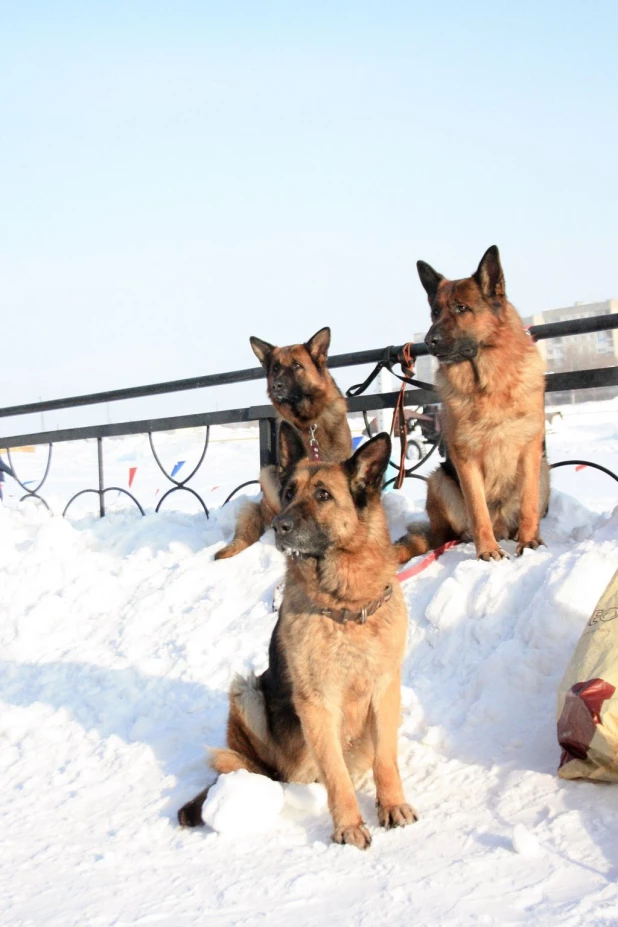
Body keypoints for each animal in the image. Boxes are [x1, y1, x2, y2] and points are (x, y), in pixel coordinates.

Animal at [180, 424, 416, 852]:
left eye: (323, 495)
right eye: (289, 492)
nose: (278, 526)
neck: (345, 605)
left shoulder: (386, 690)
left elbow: (386, 759)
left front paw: (392, 804)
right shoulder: (317, 704)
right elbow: (336, 776)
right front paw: (349, 825)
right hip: (247, 692)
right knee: (265, 769)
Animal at [392, 246, 548, 560]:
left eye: (461, 308)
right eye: (435, 312)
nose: (429, 341)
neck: (488, 386)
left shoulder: (530, 450)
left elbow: (528, 503)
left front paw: (529, 542)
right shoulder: (465, 458)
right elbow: (478, 511)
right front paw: (487, 551)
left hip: (544, 471)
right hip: (438, 481)